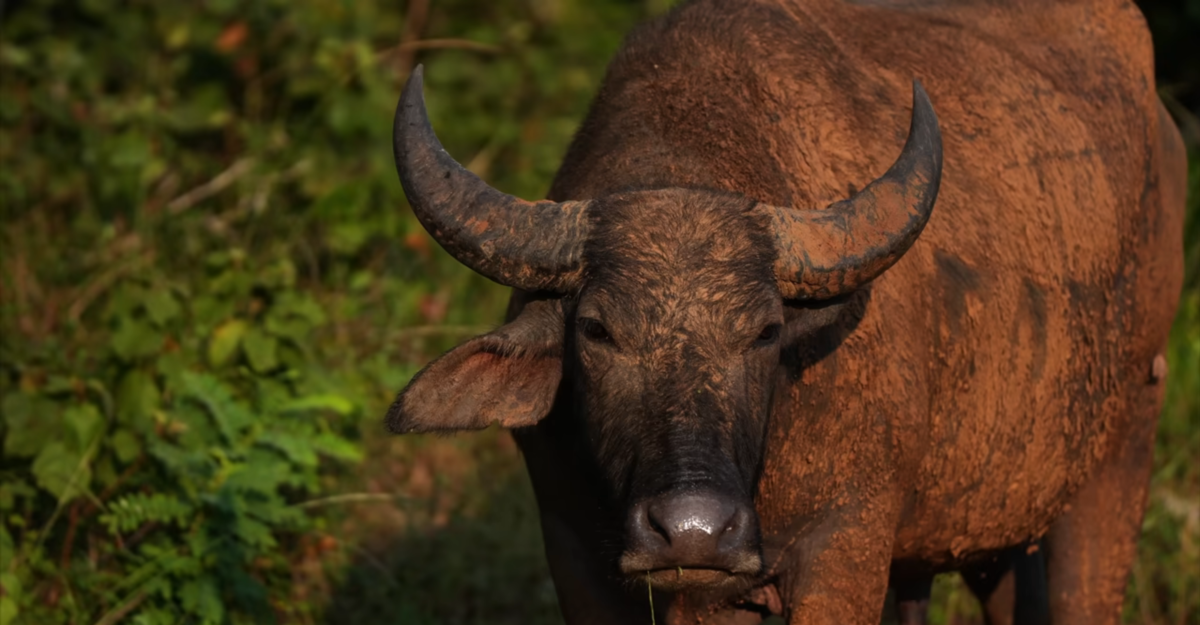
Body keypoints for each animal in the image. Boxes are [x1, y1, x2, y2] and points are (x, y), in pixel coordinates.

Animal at [384, 0, 1187, 623]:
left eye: (765, 332)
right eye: (597, 330)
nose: (694, 531)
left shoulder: (844, 547)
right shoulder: (575, 553)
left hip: (1122, 453)